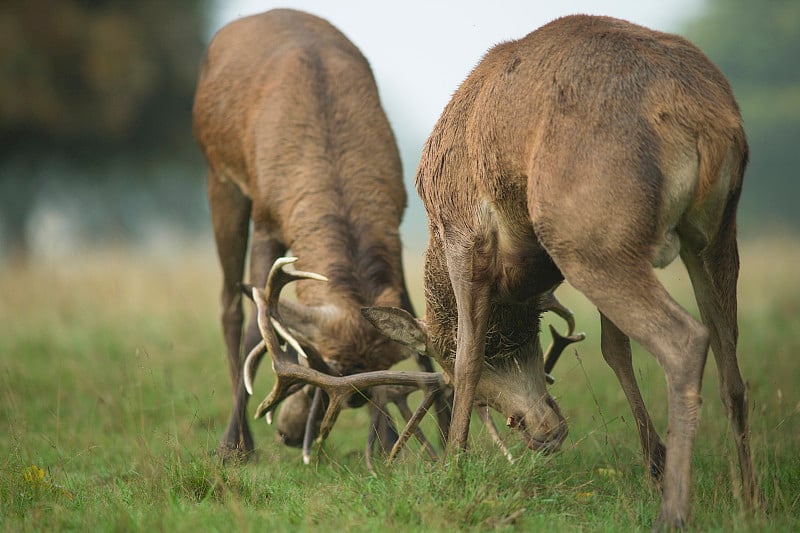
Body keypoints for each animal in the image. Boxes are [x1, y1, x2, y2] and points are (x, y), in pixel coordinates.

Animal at [362, 14, 756, 528]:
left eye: (440, 361)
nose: (542, 432)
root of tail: (706, 121)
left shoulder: (464, 236)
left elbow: (470, 355)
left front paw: (453, 465)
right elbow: (614, 349)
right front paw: (653, 461)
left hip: (586, 237)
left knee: (686, 338)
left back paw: (673, 513)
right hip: (707, 235)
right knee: (733, 369)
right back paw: (749, 500)